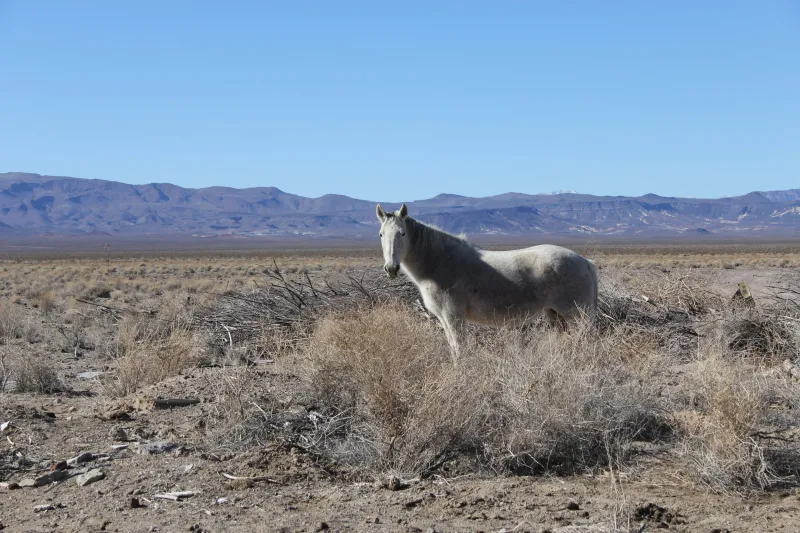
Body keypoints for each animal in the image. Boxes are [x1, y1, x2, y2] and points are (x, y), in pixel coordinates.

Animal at [376, 203, 599, 358]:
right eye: (380, 234)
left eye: (402, 233)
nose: (391, 268)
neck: (439, 261)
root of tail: (585, 262)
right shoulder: (443, 319)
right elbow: (453, 347)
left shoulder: (453, 317)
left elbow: (460, 349)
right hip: (555, 315)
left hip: (577, 315)